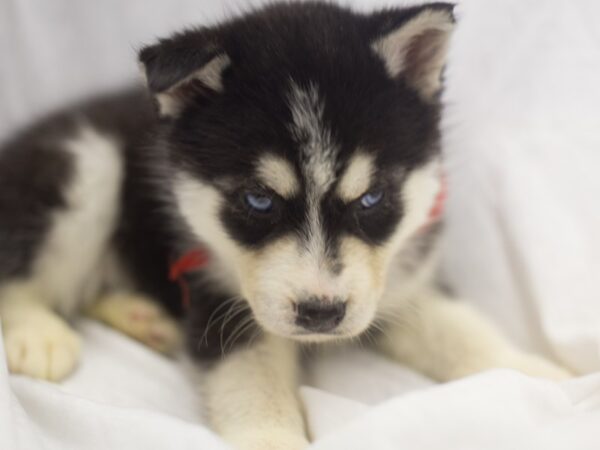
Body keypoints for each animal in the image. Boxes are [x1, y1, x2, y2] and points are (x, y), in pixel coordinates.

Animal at [0, 1, 568, 448]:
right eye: (258, 200)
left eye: (372, 198)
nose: (322, 313)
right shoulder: (219, 298)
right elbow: (253, 385)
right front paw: (272, 438)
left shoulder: (401, 278)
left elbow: (460, 331)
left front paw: (541, 376)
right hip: (85, 163)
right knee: (21, 271)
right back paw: (38, 335)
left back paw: (144, 317)